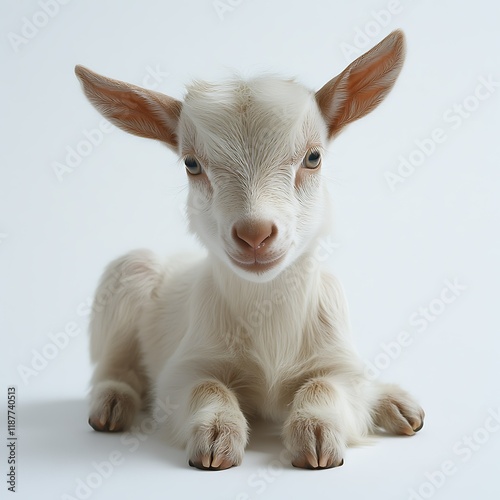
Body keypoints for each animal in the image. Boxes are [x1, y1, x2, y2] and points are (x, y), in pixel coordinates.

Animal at [76, 30, 424, 468]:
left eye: (313, 157)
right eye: (192, 164)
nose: (255, 233)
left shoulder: (339, 363)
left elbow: (326, 385)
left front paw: (317, 433)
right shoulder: (183, 368)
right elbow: (205, 386)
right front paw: (216, 435)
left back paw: (393, 402)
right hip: (128, 273)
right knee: (113, 364)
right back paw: (111, 403)